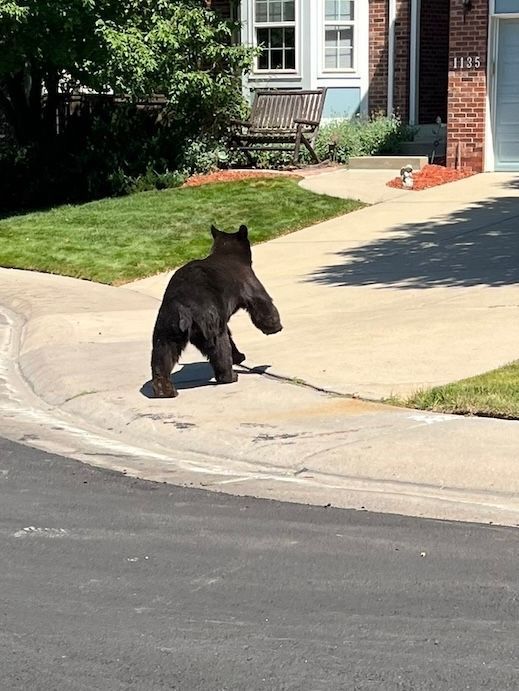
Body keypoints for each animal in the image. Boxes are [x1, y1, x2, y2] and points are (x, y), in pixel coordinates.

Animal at [151, 224, 282, 398]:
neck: (227, 251)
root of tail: (184, 309)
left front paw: (239, 356)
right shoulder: (247, 279)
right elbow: (261, 302)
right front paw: (275, 327)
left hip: (167, 325)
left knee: (163, 352)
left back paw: (164, 389)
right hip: (208, 321)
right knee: (220, 346)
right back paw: (230, 376)